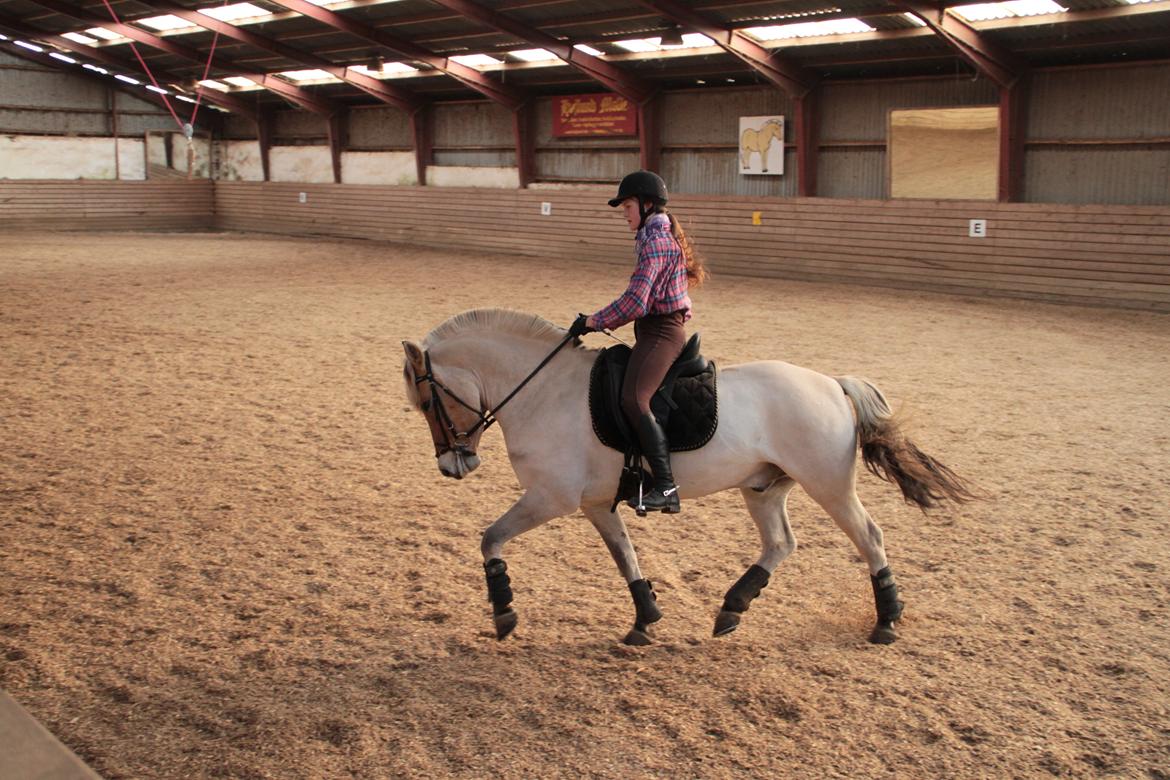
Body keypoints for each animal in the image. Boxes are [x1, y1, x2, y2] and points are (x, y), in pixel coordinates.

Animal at [407, 311, 973, 645]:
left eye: (427, 403)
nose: (452, 466)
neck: (542, 390)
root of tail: (833, 384)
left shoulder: (551, 498)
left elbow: (491, 539)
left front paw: (503, 612)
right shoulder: (595, 504)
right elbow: (625, 556)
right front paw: (644, 619)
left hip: (828, 485)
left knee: (870, 538)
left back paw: (886, 620)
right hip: (763, 487)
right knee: (780, 544)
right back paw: (731, 609)